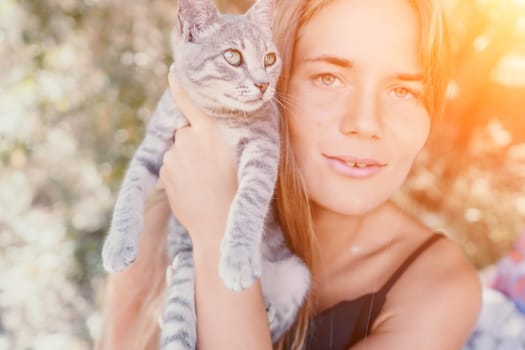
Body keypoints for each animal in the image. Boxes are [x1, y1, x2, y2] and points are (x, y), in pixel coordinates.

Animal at [100, 0, 310, 348]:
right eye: (233, 56)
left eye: (270, 58)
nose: (264, 84)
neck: (218, 115)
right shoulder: (155, 142)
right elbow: (130, 190)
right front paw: (118, 242)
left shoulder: (264, 148)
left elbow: (248, 200)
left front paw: (238, 256)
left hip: (296, 274)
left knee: (281, 315)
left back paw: (267, 311)